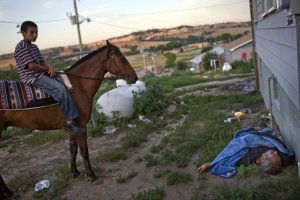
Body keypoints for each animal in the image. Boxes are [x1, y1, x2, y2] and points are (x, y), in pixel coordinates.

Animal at [0, 40, 138, 197]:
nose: (135, 77)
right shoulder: (81, 126)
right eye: (122, 58)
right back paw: (7, 192)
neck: (78, 85)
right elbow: (84, 151)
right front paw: (91, 175)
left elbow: (72, 149)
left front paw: (74, 172)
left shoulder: (73, 126)